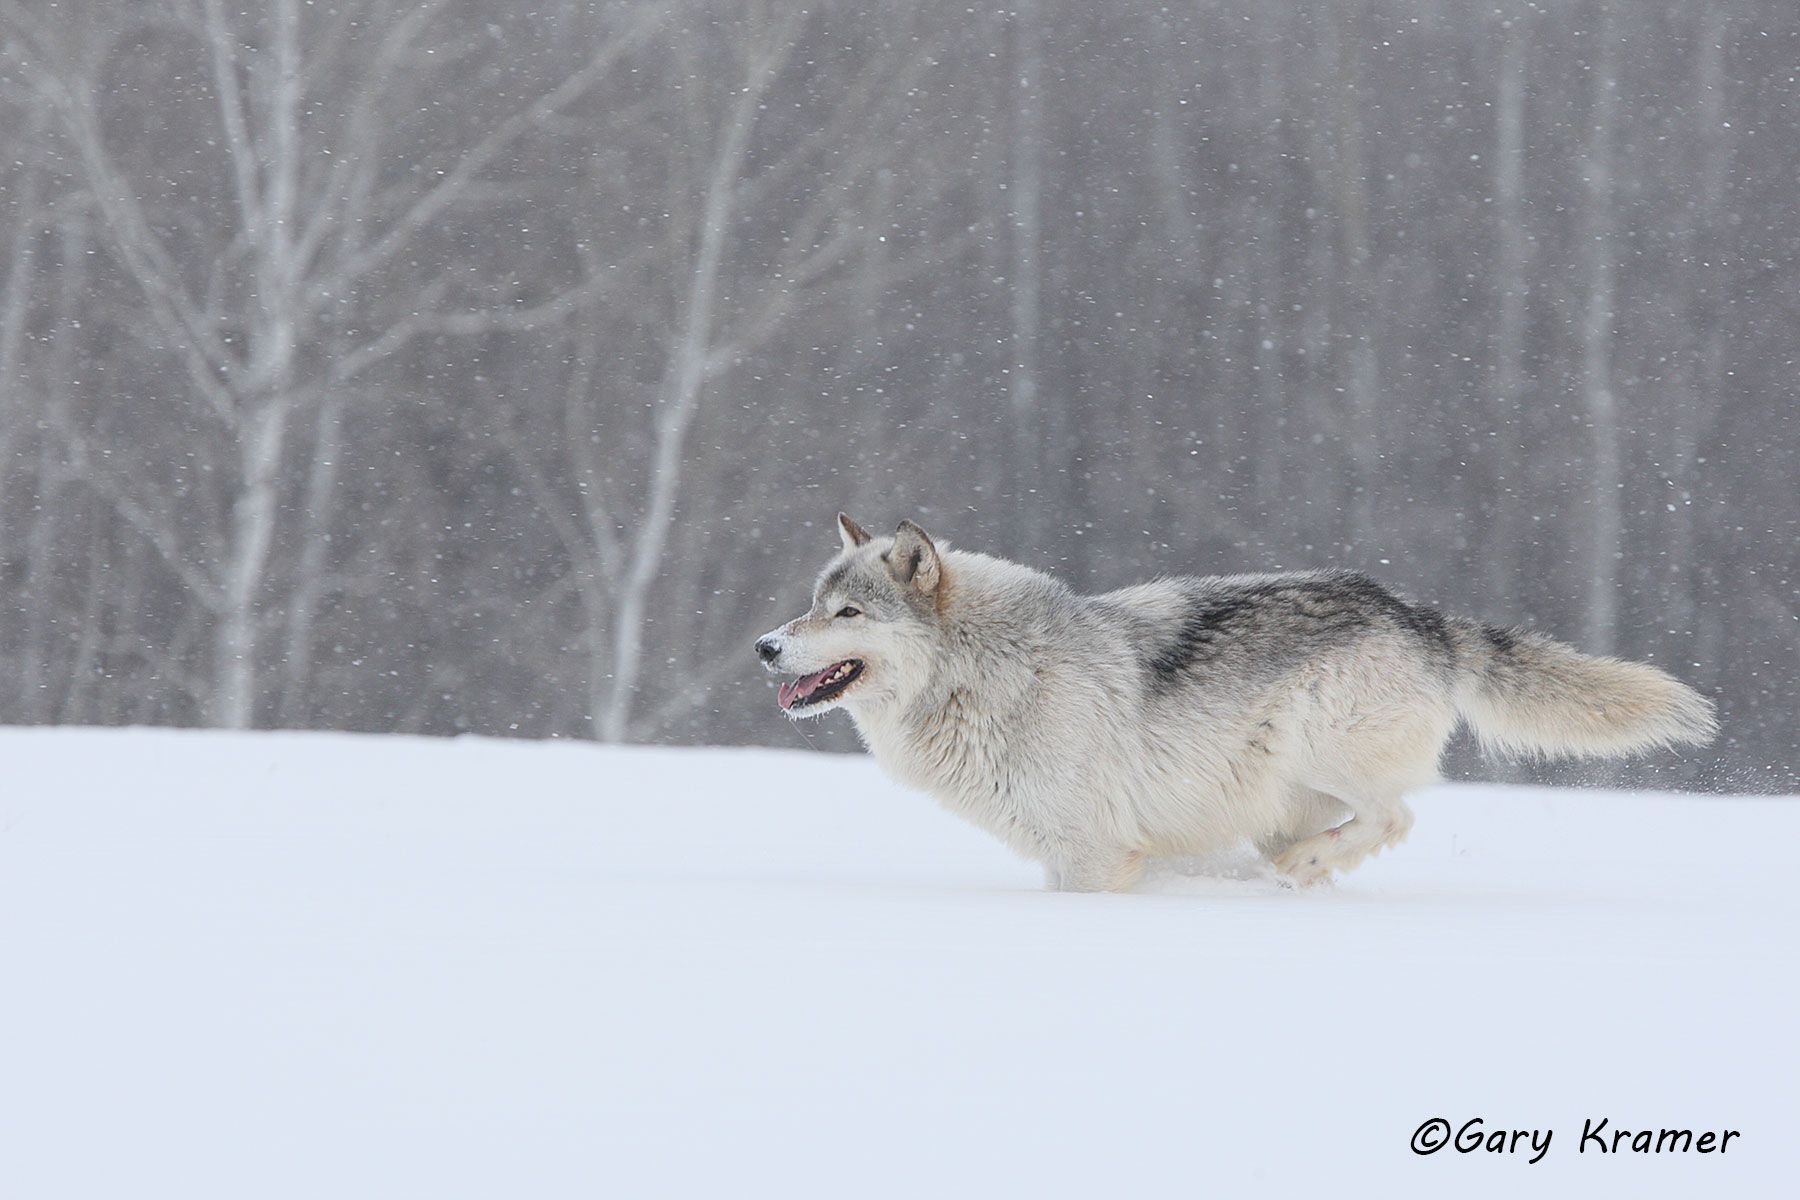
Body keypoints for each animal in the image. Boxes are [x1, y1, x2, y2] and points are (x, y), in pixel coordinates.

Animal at [755, 514, 1718, 891]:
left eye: (847, 615)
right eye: (811, 603)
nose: (765, 645)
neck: (987, 672)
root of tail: (1419, 613)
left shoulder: (1091, 856)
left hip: (1320, 748)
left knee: (1396, 816)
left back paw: (1302, 868)